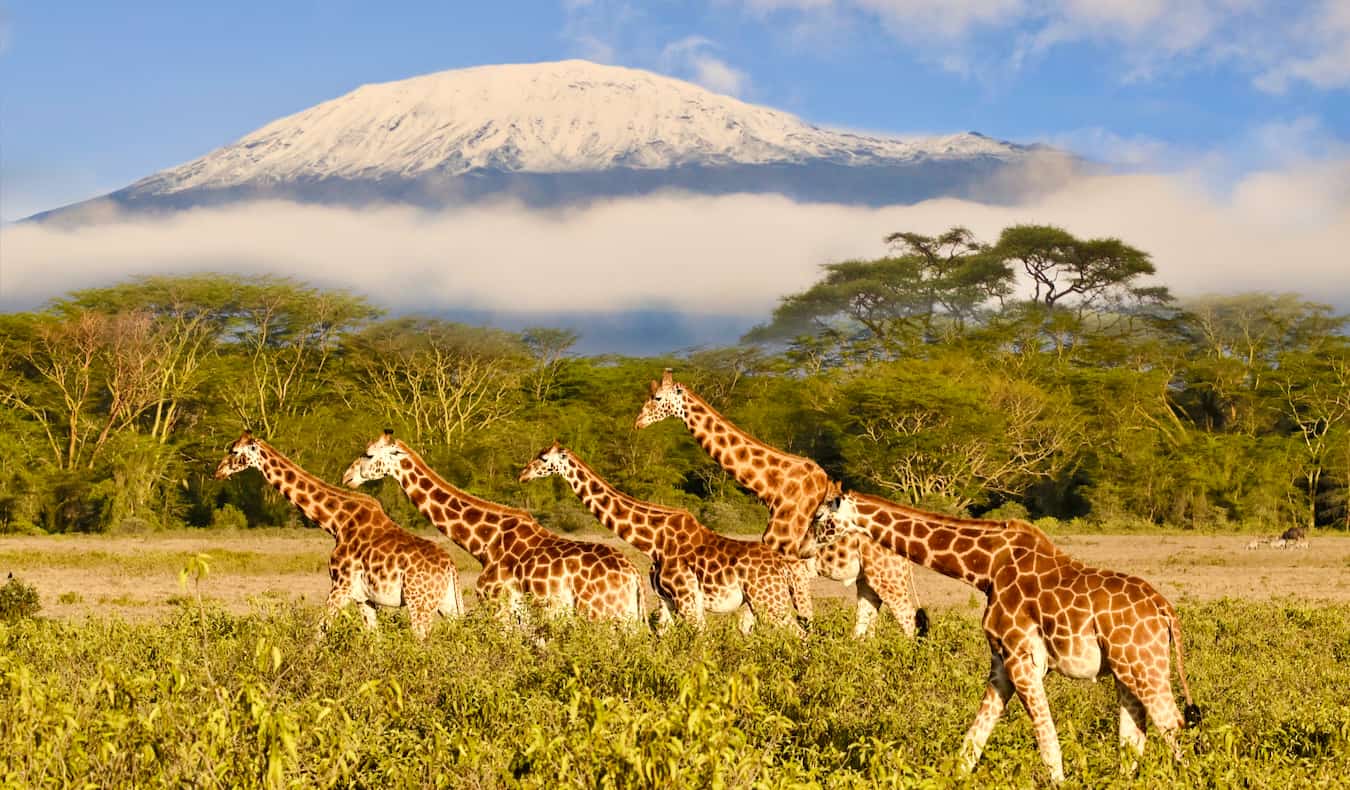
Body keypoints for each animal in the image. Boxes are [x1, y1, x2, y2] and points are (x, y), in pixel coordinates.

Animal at [213, 429, 461, 637]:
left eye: (234, 451)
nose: (218, 471)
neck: (336, 523)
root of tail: (450, 567)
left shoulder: (341, 586)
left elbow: (318, 632)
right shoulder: (363, 597)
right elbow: (374, 639)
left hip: (419, 603)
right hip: (447, 605)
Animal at [342, 429, 648, 626]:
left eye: (368, 455)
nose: (346, 477)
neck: (484, 542)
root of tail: (634, 576)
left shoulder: (497, 605)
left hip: (598, 615)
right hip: (626, 618)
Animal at [518, 440, 804, 637]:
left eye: (543, 458)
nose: (522, 474)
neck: (653, 541)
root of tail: (783, 567)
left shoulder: (686, 598)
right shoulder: (667, 601)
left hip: (768, 600)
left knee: (797, 633)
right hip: (764, 601)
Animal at [634, 367, 928, 637]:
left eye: (657, 398)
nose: (638, 422)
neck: (773, 488)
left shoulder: (793, 566)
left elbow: (797, 620)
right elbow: (751, 624)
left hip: (886, 574)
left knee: (907, 619)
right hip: (868, 577)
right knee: (870, 621)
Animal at [799, 480, 1204, 783]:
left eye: (819, 516)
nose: (800, 548)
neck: (985, 568)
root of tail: (1166, 611)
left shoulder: (1023, 658)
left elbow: (1048, 743)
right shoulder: (1001, 663)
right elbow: (971, 743)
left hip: (1144, 665)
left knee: (1172, 724)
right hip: (1125, 670)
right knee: (1134, 737)